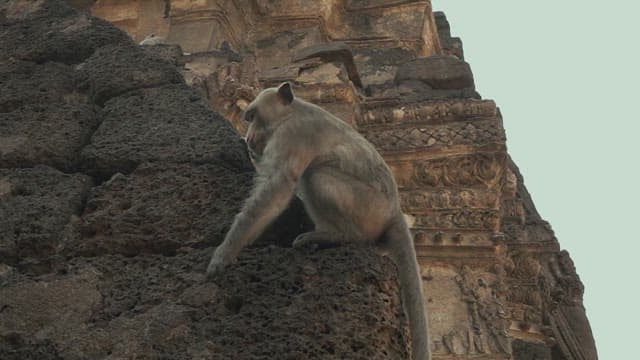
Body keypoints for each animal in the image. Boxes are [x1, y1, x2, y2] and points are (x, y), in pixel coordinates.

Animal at [208, 82, 432, 360]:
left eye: (251, 117)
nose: (249, 137)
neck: (291, 111)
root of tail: (395, 211)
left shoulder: (293, 135)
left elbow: (278, 185)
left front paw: (224, 253)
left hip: (368, 208)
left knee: (317, 175)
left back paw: (334, 235)